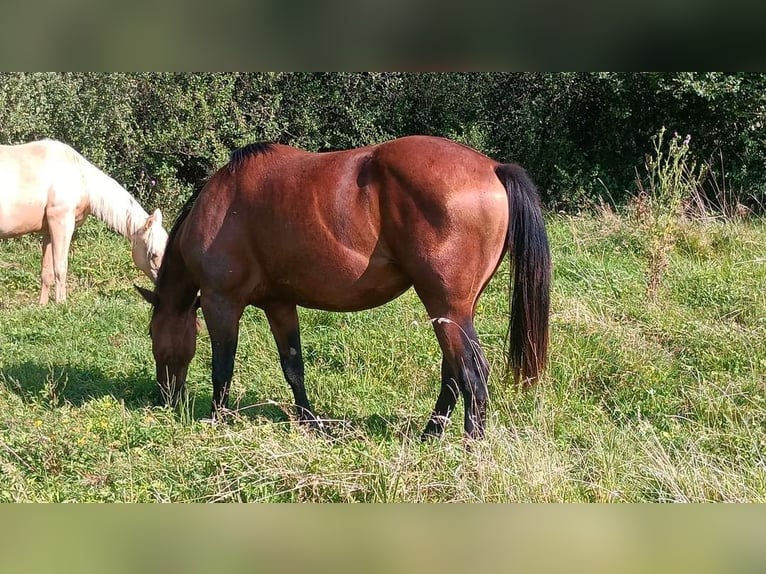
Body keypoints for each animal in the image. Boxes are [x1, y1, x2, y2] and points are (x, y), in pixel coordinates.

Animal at [0, 138, 169, 306]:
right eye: (154, 254)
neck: (80, 177)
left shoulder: (48, 231)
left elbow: (47, 272)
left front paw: (43, 306)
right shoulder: (62, 223)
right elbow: (61, 267)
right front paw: (61, 305)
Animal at [135, 136, 548, 440]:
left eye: (152, 332)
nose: (165, 397)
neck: (224, 202)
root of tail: (493, 168)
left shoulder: (221, 303)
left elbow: (222, 367)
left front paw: (217, 420)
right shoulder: (279, 304)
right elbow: (293, 366)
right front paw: (310, 422)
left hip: (446, 307)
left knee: (472, 376)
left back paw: (470, 448)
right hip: (455, 311)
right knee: (454, 374)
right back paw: (430, 434)